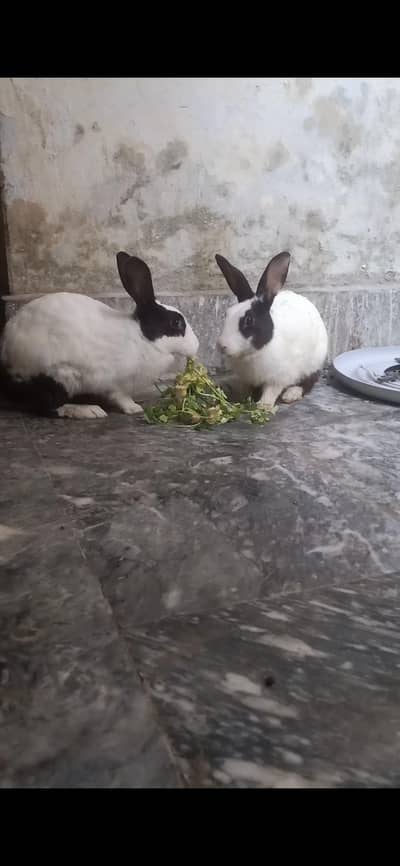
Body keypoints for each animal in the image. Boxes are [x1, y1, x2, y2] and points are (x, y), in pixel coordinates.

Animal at [0, 252, 199, 419]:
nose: (196, 345)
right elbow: (120, 396)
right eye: (176, 323)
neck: (143, 338)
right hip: (57, 377)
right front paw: (134, 408)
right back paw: (89, 411)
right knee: (47, 407)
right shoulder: (114, 382)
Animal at [215, 250, 328, 409]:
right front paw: (244, 398)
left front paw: (263, 406)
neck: (252, 354)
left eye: (249, 320)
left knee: (309, 381)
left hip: (313, 362)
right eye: (227, 313)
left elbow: (271, 390)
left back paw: (291, 394)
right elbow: (247, 387)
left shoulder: (279, 376)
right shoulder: (246, 378)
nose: (221, 345)